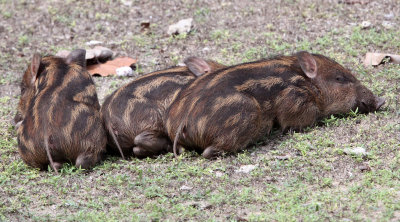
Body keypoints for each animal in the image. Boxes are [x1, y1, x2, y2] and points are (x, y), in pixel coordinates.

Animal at [167, 50, 386, 158]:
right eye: (340, 79)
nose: (381, 101)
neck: (306, 83)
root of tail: (182, 124)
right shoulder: (296, 103)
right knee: (209, 152)